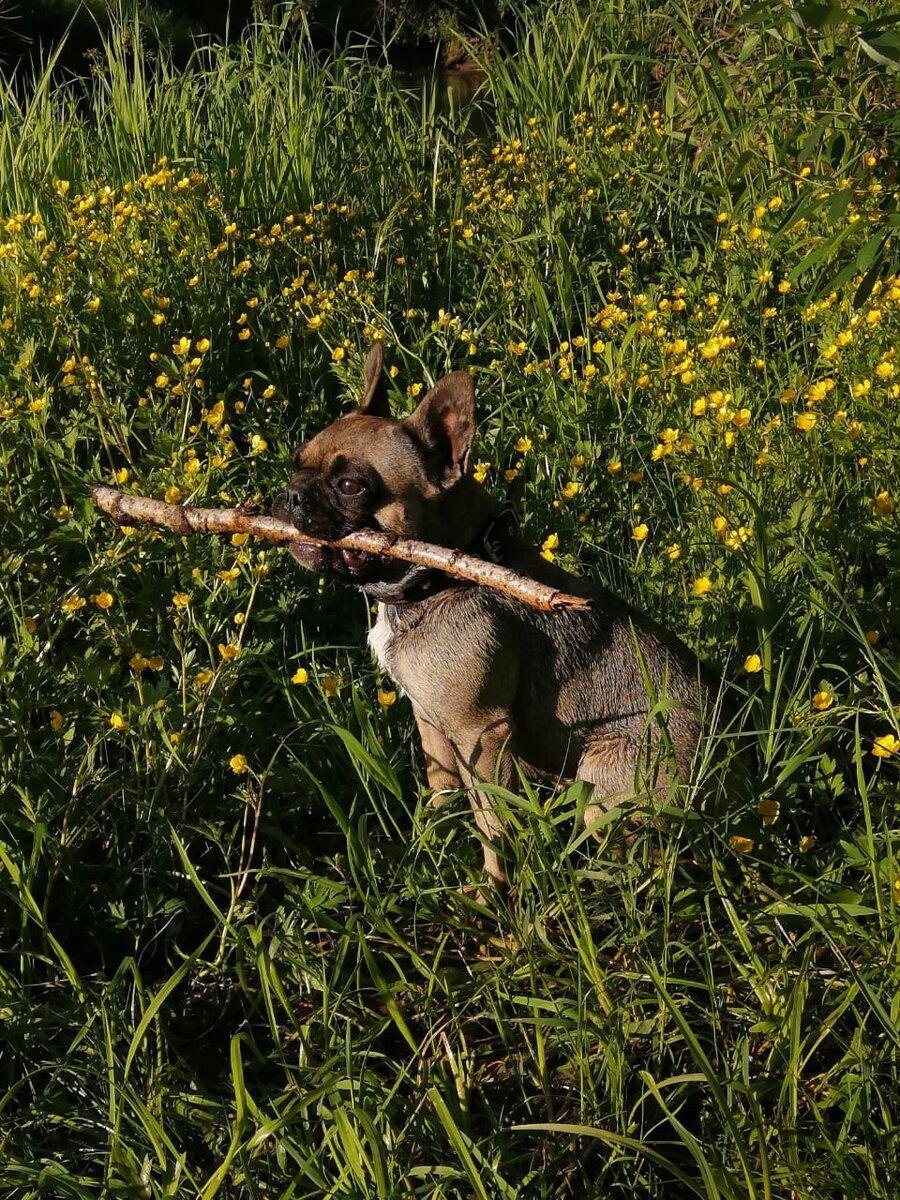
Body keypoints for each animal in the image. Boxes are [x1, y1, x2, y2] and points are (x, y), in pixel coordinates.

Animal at [274, 343, 720, 888]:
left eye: (351, 485)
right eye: (295, 463)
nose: (292, 493)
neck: (446, 575)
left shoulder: (482, 735)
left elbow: (492, 823)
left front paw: (493, 890)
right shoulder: (431, 721)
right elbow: (441, 788)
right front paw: (429, 844)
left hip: (604, 778)